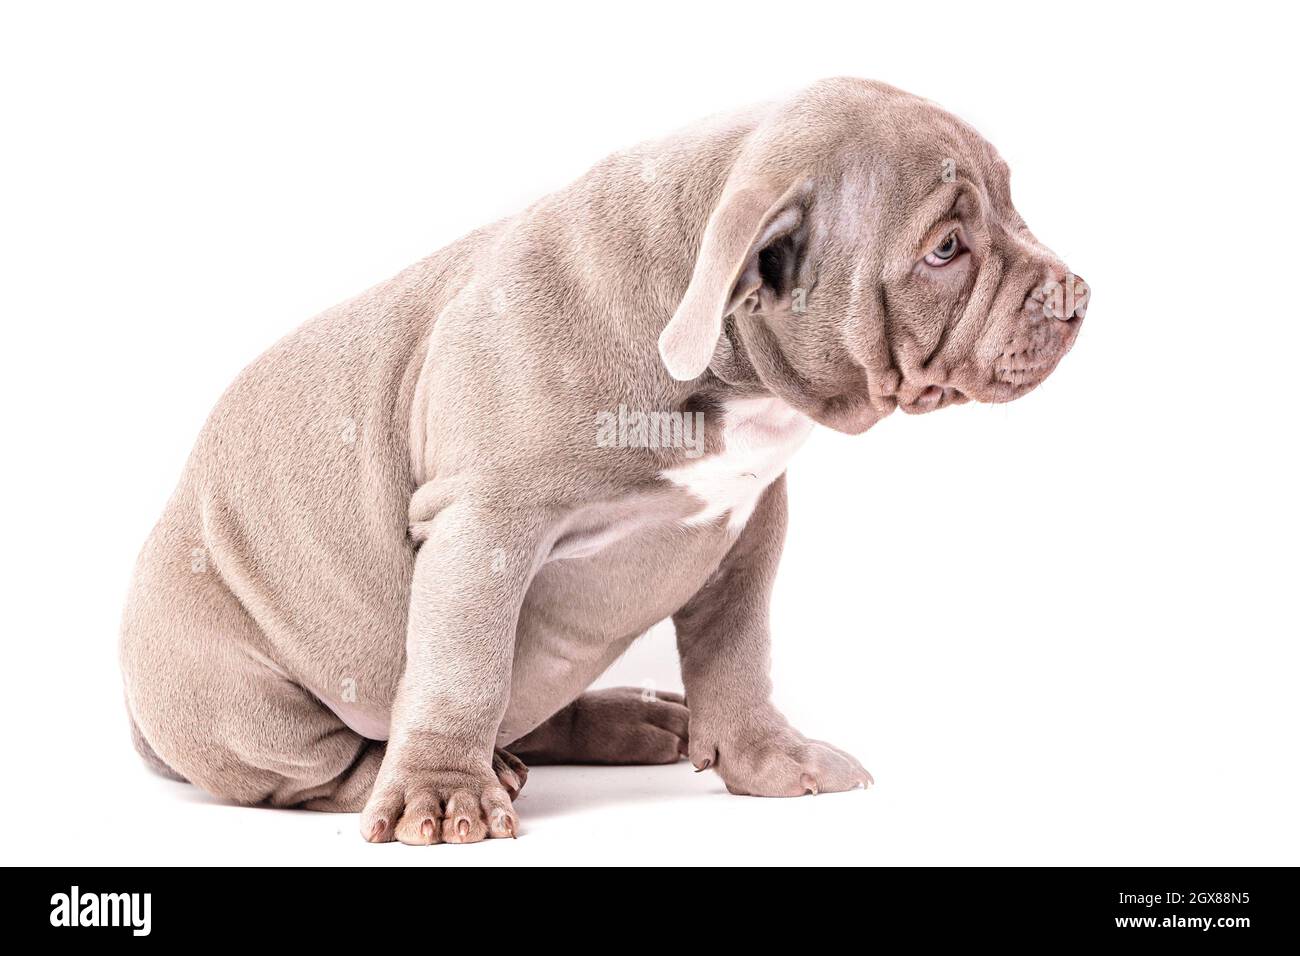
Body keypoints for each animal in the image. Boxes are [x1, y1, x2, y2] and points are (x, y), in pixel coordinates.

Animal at [122, 78, 1086, 848]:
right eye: (944, 251)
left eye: (1013, 201)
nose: (1077, 294)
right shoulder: (484, 527)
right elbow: (465, 664)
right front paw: (441, 795)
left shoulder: (749, 527)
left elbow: (738, 652)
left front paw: (768, 759)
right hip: (232, 693)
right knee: (319, 762)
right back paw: (437, 774)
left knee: (530, 705)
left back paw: (622, 723)